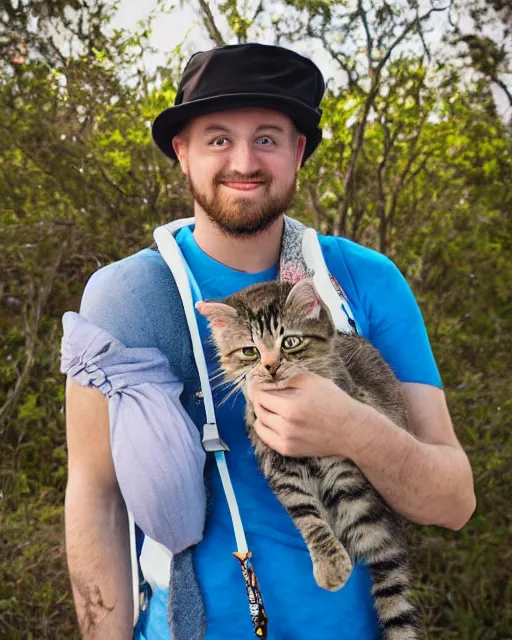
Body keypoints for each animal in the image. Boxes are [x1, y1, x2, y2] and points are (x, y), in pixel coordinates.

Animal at [196, 280, 420, 640]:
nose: (271, 366)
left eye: (290, 342)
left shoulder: (342, 461)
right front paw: (330, 563)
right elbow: (306, 516)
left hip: (367, 509)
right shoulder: (278, 466)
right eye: (250, 351)